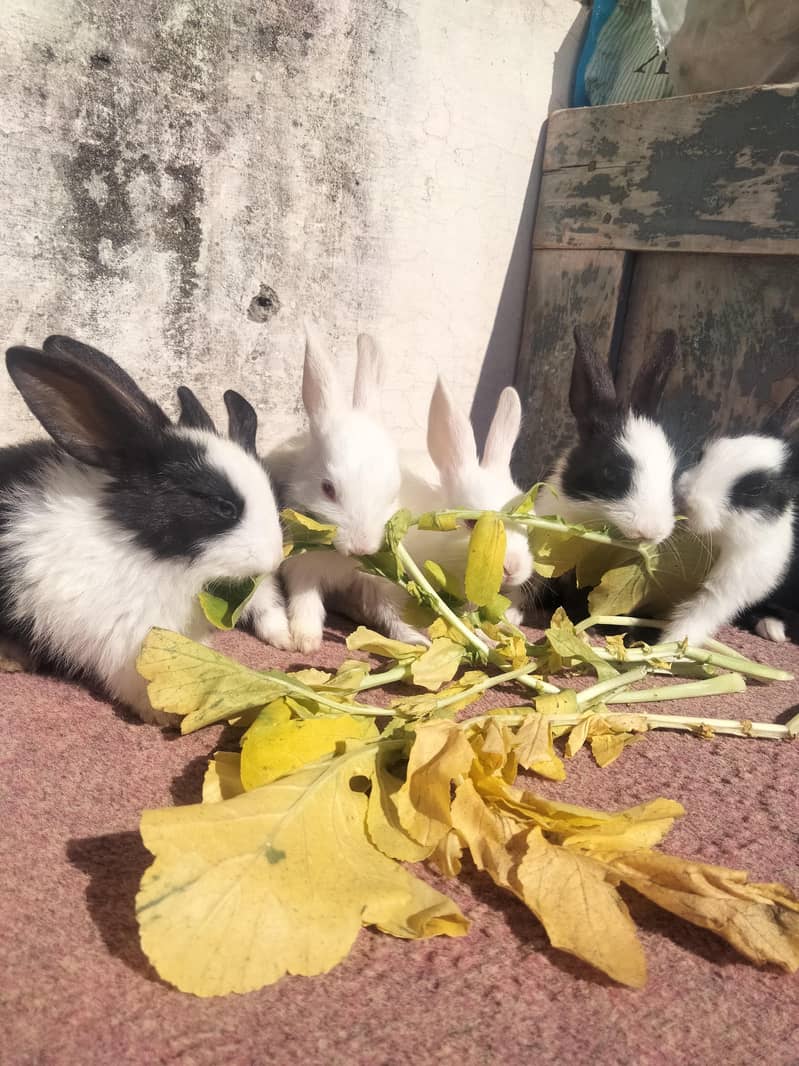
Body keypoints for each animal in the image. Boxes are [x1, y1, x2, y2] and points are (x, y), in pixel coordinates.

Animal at [243, 322, 423, 653]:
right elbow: (306, 604)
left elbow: (393, 609)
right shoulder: (303, 569)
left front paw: (416, 641)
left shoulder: (377, 580)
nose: (362, 548)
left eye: (393, 492)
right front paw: (306, 642)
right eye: (328, 489)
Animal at [662, 384, 799, 646]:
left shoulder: (731, 585)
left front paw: (667, 648)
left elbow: (698, 616)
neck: (724, 535)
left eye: (755, 490)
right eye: (702, 455)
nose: (685, 499)